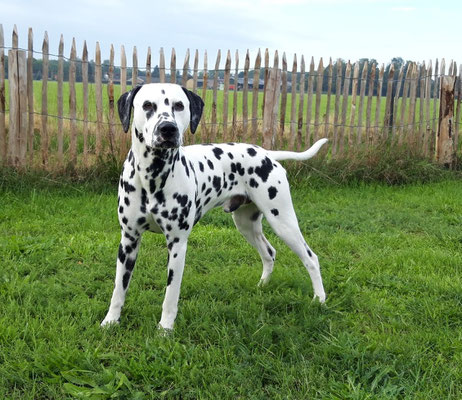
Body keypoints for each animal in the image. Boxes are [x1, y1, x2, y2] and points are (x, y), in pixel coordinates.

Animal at [100, 83, 328, 330]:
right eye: (147, 105)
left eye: (179, 105)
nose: (168, 129)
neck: (153, 176)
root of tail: (267, 153)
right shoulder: (128, 241)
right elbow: (118, 288)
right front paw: (110, 321)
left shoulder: (177, 245)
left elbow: (171, 295)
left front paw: (165, 328)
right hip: (246, 225)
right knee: (269, 253)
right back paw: (263, 286)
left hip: (283, 221)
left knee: (311, 258)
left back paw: (319, 299)